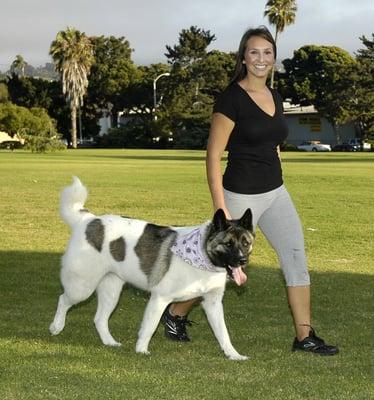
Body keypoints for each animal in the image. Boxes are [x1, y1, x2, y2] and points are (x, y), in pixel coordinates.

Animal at [49, 177, 254, 360]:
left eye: (245, 243)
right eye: (228, 244)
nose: (243, 260)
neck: (201, 254)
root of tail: (88, 220)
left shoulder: (213, 303)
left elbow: (223, 333)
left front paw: (233, 354)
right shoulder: (159, 298)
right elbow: (150, 326)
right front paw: (141, 350)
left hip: (111, 290)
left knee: (99, 318)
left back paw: (109, 342)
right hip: (82, 287)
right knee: (62, 299)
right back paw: (56, 326)